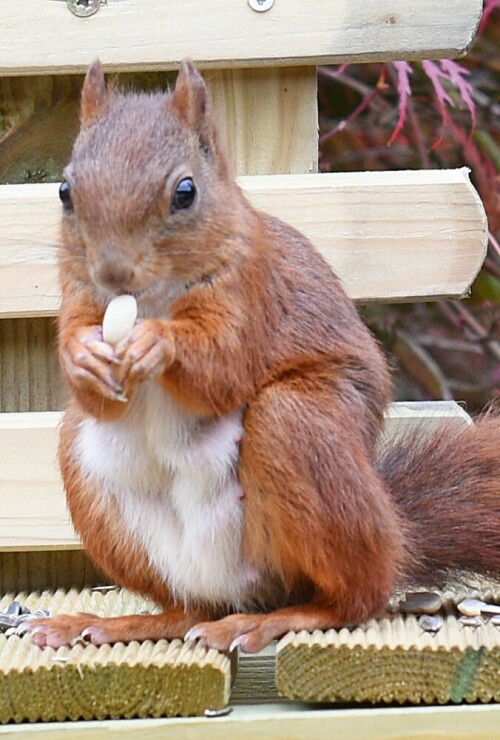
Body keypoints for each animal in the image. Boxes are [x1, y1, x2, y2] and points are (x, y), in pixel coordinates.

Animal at [28, 60, 500, 652]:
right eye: (65, 191)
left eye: (185, 192)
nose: (113, 274)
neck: (151, 300)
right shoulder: (78, 294)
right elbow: (92, 383)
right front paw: (81, 359)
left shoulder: (251, 295)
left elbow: (221, 368)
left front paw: (159, 342)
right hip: (91, 474)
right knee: (189, 608)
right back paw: (115, 624)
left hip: (295, 424)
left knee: (356, 595)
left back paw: (280, 618)